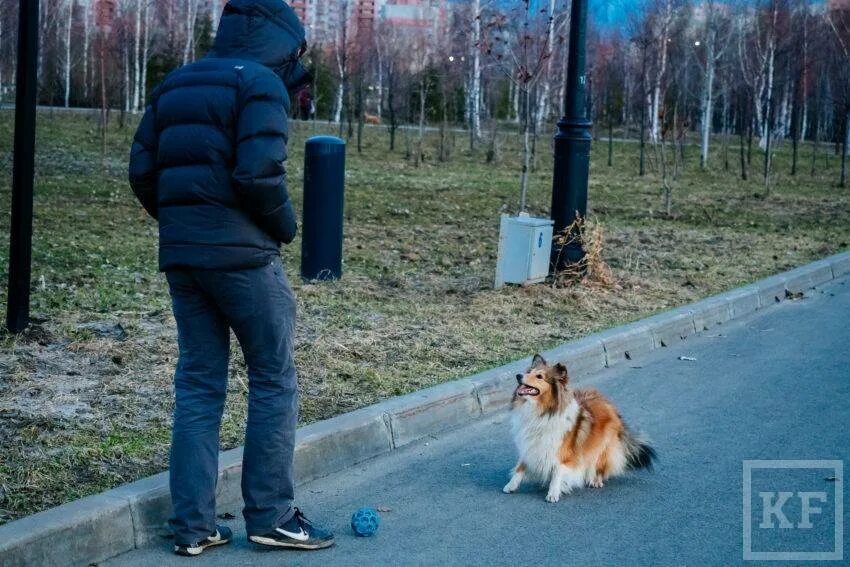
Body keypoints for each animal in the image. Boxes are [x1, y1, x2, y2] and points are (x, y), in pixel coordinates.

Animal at [504, 352, 656, 504]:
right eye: (528, 372)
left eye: (539, 376)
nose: (518, 376)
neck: (542, 412)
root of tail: (610, 405)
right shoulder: (530, 446)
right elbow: (520, 467)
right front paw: (510, 486)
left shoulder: (562, 454)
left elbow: (557, 473)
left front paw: (553, 493)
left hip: (604, 447)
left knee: (601, 465)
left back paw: (596, 480)